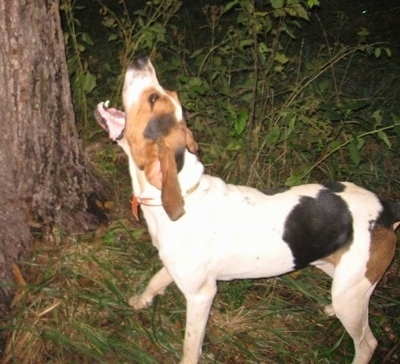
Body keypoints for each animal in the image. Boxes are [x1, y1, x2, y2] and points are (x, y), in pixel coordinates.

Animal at [94, 55, 400, 362]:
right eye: (162, 96)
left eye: (154, 98)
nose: (141, 59)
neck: (184, 193)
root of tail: (386, 209)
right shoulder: (175, 267)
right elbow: (156, 280)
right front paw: (141, 300)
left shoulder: (201, 295)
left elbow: (190, 345)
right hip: (337, 274)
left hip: (349, 294)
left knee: (367, 342)